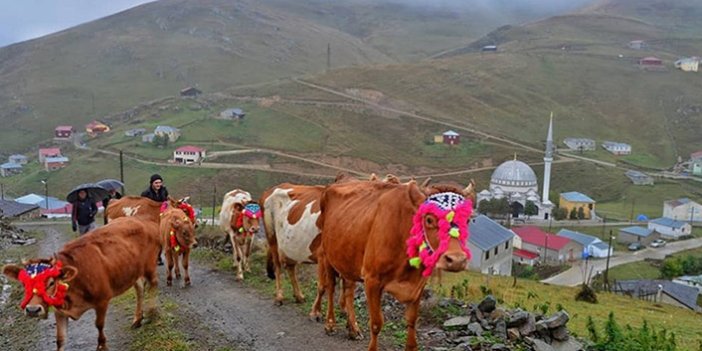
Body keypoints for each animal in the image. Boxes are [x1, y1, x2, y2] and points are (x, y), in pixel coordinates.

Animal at [1, 217, 161, 351]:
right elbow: (60, 340)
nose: (32, 310)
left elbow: (99, 325)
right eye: (24, 283)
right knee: (140, 289)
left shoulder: (102, 300)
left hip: (149, 265)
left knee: (153, 284)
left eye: (51, 282)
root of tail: (146, 222)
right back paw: (137, 319)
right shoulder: (60, 311)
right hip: (133, 271)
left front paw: (102, 347)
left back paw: (153, 312)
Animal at [320, 180, 476, 350]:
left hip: (347, 258)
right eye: (429, 219)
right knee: (331, 287)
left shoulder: (418, 284)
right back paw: (330, 324)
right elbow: (376, 323)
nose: (457, 260)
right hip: (327, 255)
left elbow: (412, 320)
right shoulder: (372, 279)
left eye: (467, 220)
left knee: (348, 290)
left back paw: (353, 329)